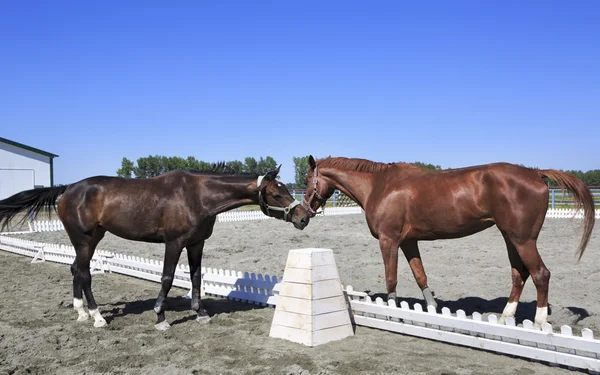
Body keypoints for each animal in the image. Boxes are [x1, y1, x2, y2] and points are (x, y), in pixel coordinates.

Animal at [0, 166, 310, 330]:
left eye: (286, 190)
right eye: (276, 193)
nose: (304, 217)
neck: (197, 196)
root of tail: (68, 189)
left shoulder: (196, 243)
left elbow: (196, 277)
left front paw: (201, 313)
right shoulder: (174, 243)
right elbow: (167, 277)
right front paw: (160, 316)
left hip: (92, 238)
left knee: (76, 269)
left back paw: (81, 313)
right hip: (84, 239)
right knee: (85, 273)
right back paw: (98, 317)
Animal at [304, 156, 596, 328]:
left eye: (308, 180)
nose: (301, 216)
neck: (380, 185)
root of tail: (536, 173)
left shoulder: (389, 241)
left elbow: (391, 280)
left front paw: (393, 314)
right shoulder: (409, 242)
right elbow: (420, 276)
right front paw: (433, 312)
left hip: (523, 240)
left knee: (540, 274)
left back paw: (538, 323)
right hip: (511, 238)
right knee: (519, 274)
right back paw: (506, 318)